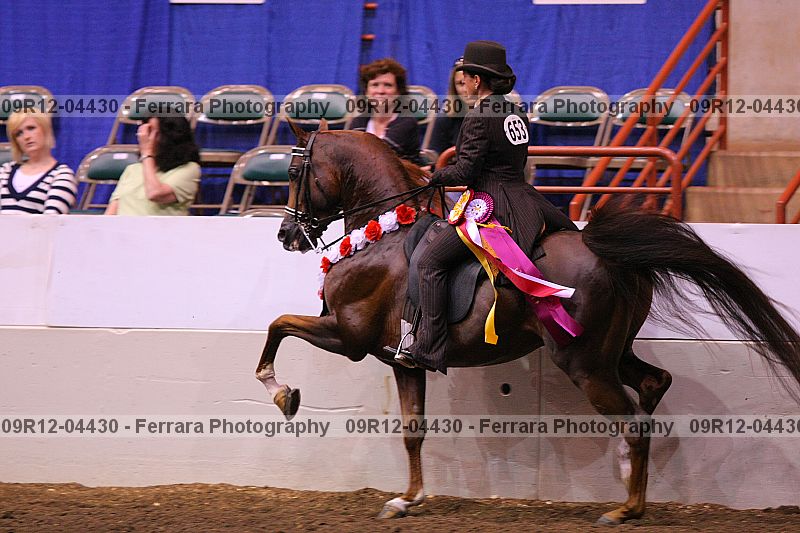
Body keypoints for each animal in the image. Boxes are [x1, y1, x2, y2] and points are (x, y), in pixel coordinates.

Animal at [255, 121, 800, 525]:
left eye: (295, 171)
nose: (285, 235)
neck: (383, 231)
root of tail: (609, 252)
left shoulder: (348, 335)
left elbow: (277, 325)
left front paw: (283, 395)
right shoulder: (403, 361)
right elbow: (413, 430)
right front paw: (408, 500)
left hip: (583, 362)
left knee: (632, 419)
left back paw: (624, 509)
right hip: (611, 352)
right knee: (652, 385)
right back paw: (632, 488)